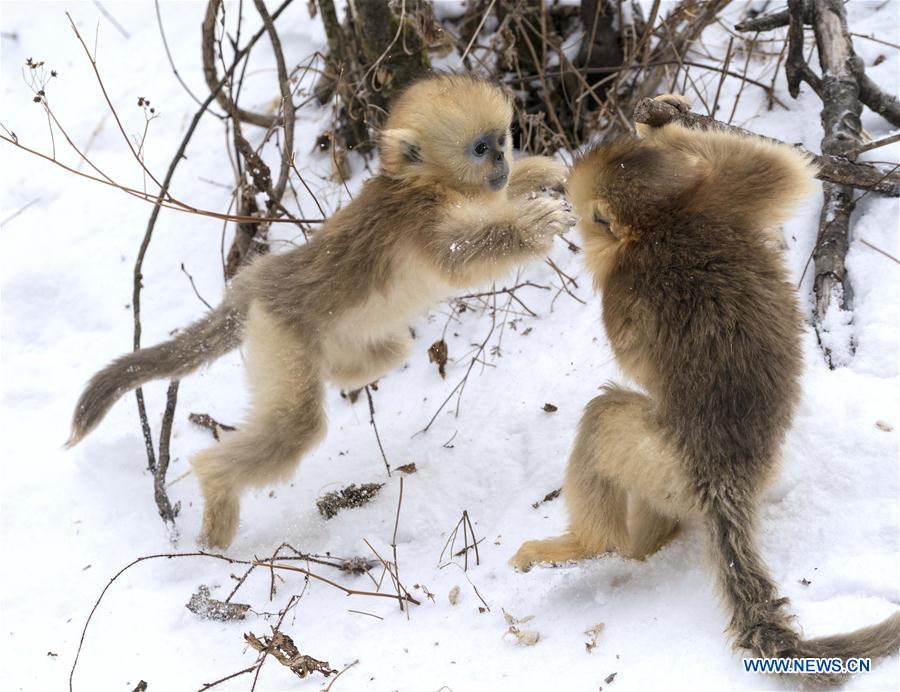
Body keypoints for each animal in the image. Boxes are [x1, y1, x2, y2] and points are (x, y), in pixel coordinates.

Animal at [70, 74, 576, 552]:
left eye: (502, 140)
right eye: (480, 149)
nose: (503, 163)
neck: (426, 184)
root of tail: (255, 282)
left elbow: (503, 202)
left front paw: (546, 172)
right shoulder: (421, 220)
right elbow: (460, 257)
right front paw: (535, 225)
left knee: (390, 350)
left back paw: (347, 372)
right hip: (280, 334)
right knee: (294, 426)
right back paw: (215, 504)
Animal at [510, 100, 896, 680]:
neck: (665, 223)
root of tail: (726, 480)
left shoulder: (624, 285)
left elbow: (631, 358)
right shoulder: (723, 195)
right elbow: (785, 167)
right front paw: (665, 121)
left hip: (665, 464)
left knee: (605, 414)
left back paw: (588, 543)